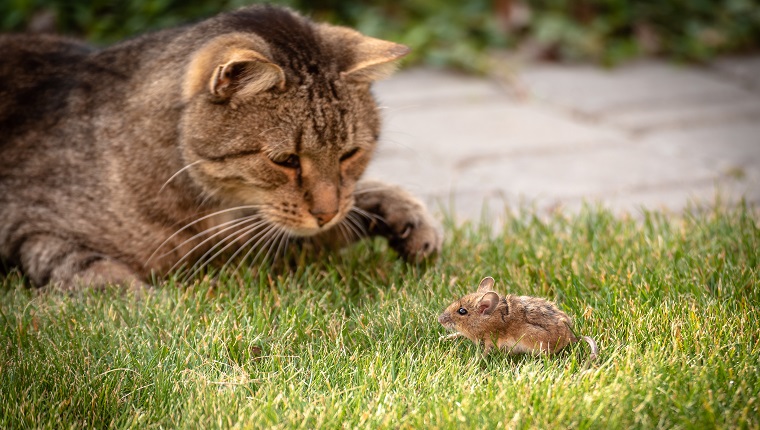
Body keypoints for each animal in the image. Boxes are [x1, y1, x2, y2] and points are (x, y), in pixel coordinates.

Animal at [0, 5, 442, 288]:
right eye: (285, 160)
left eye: (349, 154)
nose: (325, 213)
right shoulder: (27, 224)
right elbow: (90, 270)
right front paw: (141, 303)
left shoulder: (250, 244)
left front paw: (402, 214)